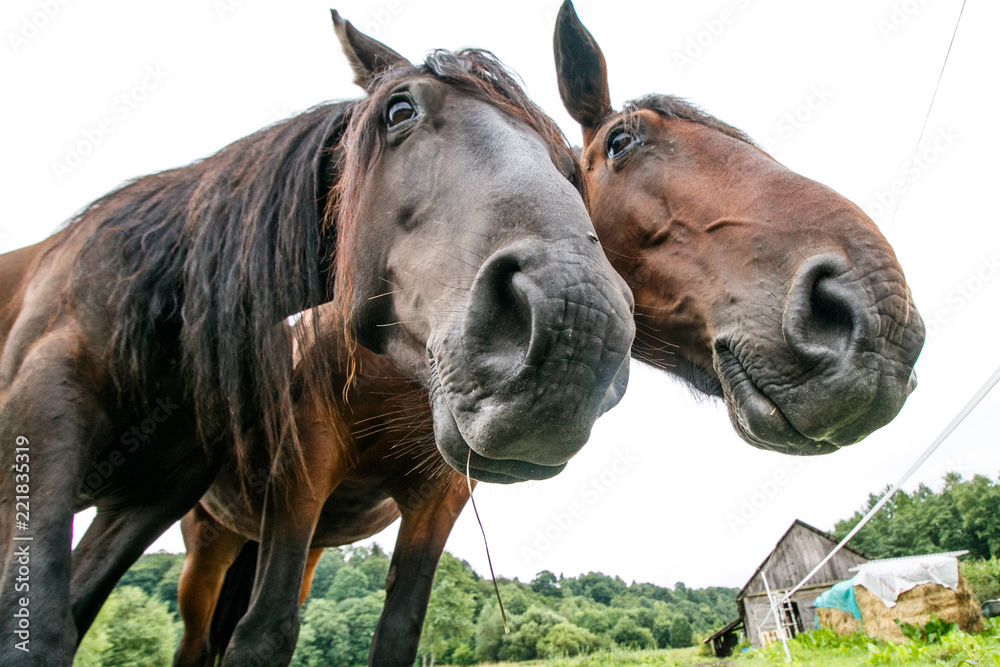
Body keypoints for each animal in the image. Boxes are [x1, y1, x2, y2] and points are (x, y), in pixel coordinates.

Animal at [172, 2, 926, 665]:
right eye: (622, 141)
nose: (876, 316)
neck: (386, 366)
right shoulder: (300, 472)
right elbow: (262, 636)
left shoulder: (437, 497)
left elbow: (398, 633)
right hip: (216, 540)